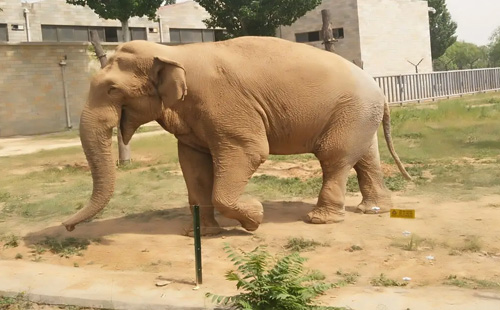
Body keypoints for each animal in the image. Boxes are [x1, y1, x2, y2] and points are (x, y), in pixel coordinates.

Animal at [61, 36, 410, 235]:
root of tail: (380, 91)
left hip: (351, 111)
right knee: (365, 157)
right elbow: (193, 165)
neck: (174, 53)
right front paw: (201, 233)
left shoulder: (226, 104)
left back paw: (319, 220)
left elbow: (251, 151)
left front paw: (254, 217)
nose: (68, 226)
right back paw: (372, 210)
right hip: (359, 115)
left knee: (334, 157)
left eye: (112, 89)